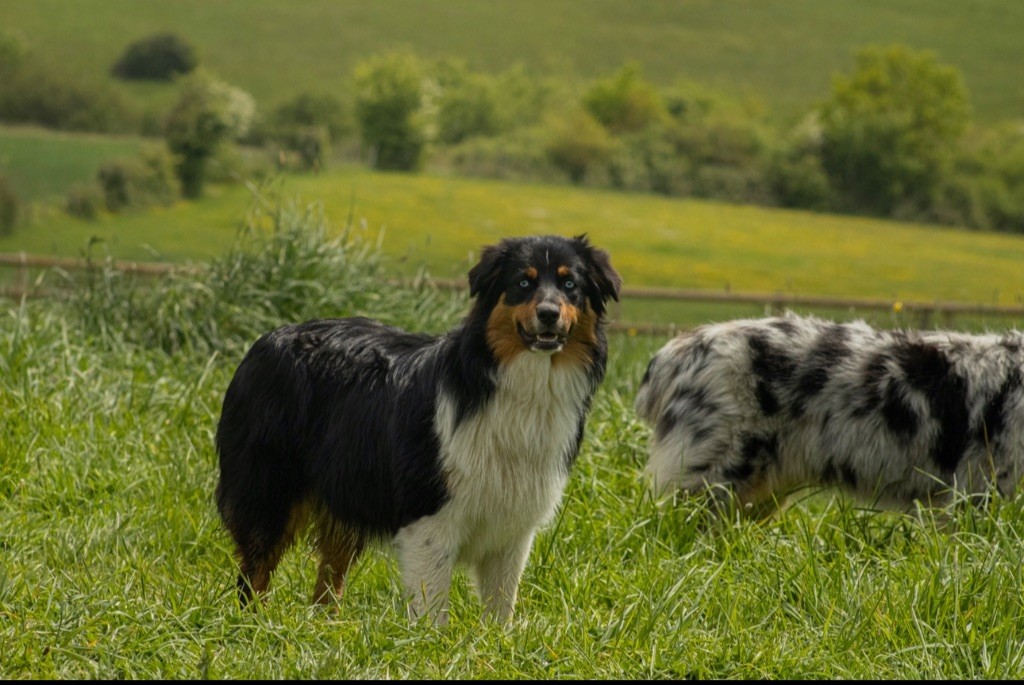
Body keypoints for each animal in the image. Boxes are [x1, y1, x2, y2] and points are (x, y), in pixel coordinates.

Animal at [211, 232, 618, 622]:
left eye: (570, 285)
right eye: (523, 282)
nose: (548, 314)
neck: (517, 384)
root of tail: (265, 340)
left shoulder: (513, 529)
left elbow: (501, 607)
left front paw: (497, 643)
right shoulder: (429, 517)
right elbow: (432, 608)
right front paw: (429, 643)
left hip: (347, 491)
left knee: (329, 576)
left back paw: (327, 629)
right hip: (268, 491)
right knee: (254, 573)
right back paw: (256, 626)